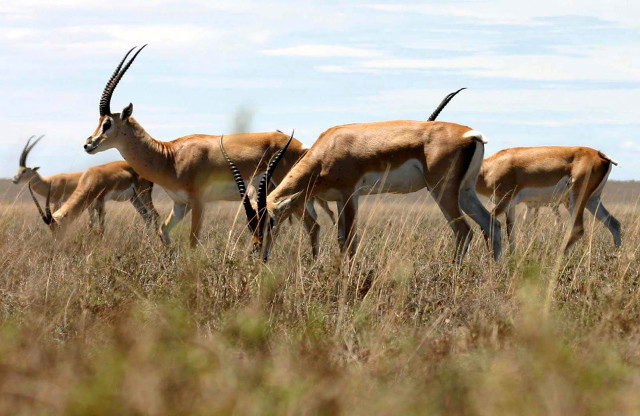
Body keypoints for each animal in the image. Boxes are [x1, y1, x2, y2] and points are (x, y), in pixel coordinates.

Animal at [29, 160, 159, 236]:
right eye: (50, 229)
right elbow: (90, 224)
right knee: (147, 216)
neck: (92, 177)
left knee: (155, 215)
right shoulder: (91, 205)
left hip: (143, 193)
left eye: (58, 227)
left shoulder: (101, 201)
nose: (57, 240)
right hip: (134, 198)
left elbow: (101, 227)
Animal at [83, 45, 326, 255]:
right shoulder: (180, 204)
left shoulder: (199, 203)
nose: (88, 144)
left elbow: (192, 241)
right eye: (99, 121)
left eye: (107, 123)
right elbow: (163, 232)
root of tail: (301, 146)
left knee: (313, 226)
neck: (170, 157)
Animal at [225, 91, 503, 263]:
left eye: (270, 221)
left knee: (463, 230)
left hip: (442, 191)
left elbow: (350, 239)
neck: (327, 149)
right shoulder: (339, 198)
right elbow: (341, 239)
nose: (258, 251)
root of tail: (470, 135)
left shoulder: (350, 194)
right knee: (492, 224)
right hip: (464, 191)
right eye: (251, 224)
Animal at [476, 146, 621, 253]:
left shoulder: (504, 201)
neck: (491, 168)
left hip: (575, 199)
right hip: (592, 200)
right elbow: (510, 232)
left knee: (577, 229)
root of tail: (600, 155)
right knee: (614, 224)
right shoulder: (510, 205)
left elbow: (487, 225)